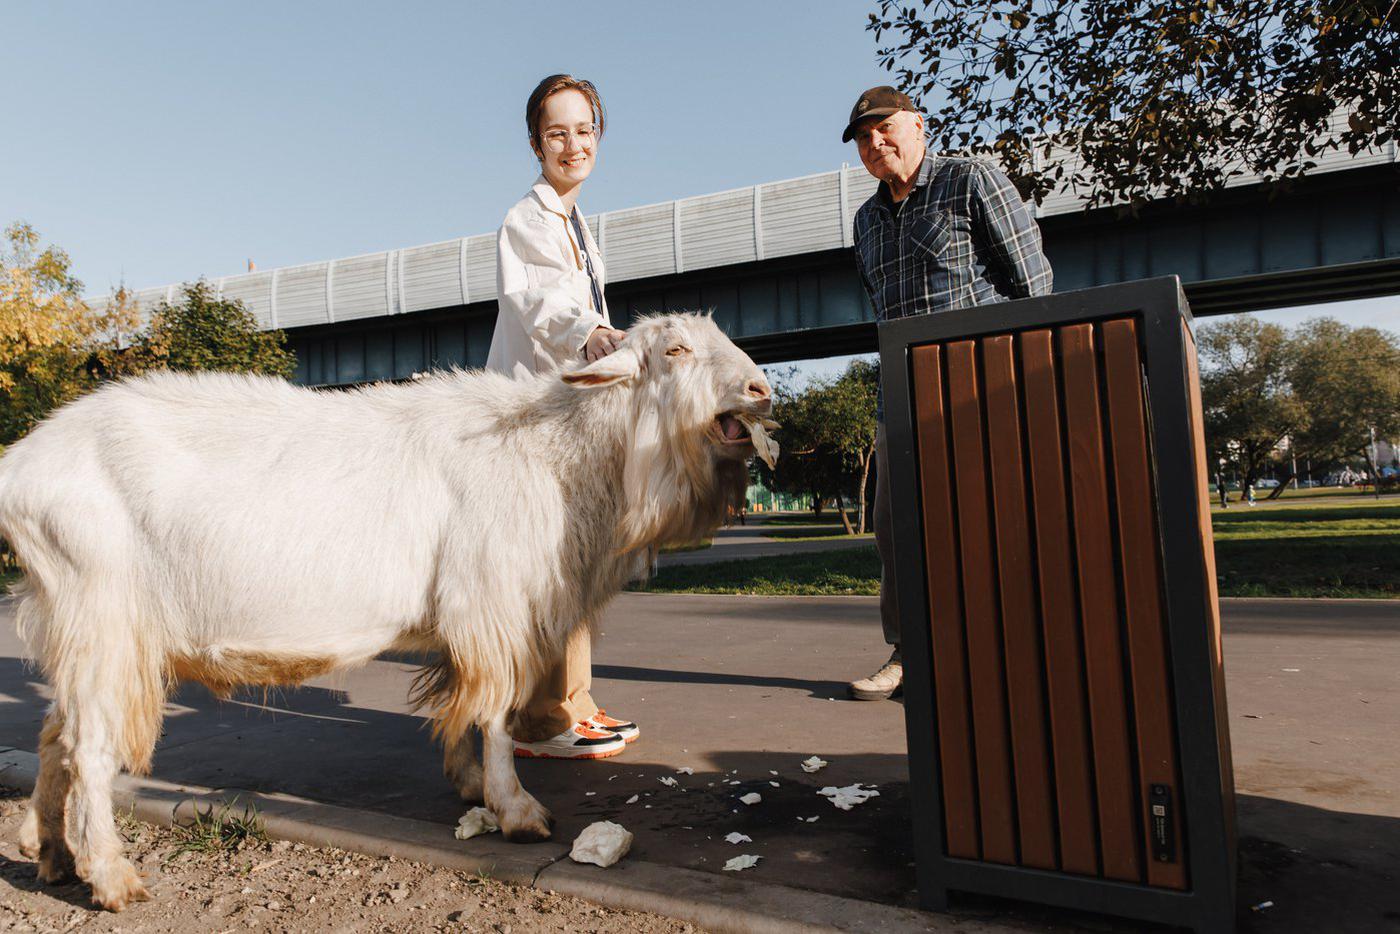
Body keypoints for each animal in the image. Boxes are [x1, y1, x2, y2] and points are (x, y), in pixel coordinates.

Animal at [0, 312, 778, 907]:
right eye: (675, 350)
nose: (762, 389)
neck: (553, 452)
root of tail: (20, 467)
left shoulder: (470, 619)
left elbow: (464, 705)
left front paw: (469, 786)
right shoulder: (493, 600)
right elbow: (497, 713)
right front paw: (517, 811)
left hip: (76, 623)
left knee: (54, 735)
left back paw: (50, 852)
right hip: (104, 614)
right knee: (89, 749)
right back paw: (111, 876)